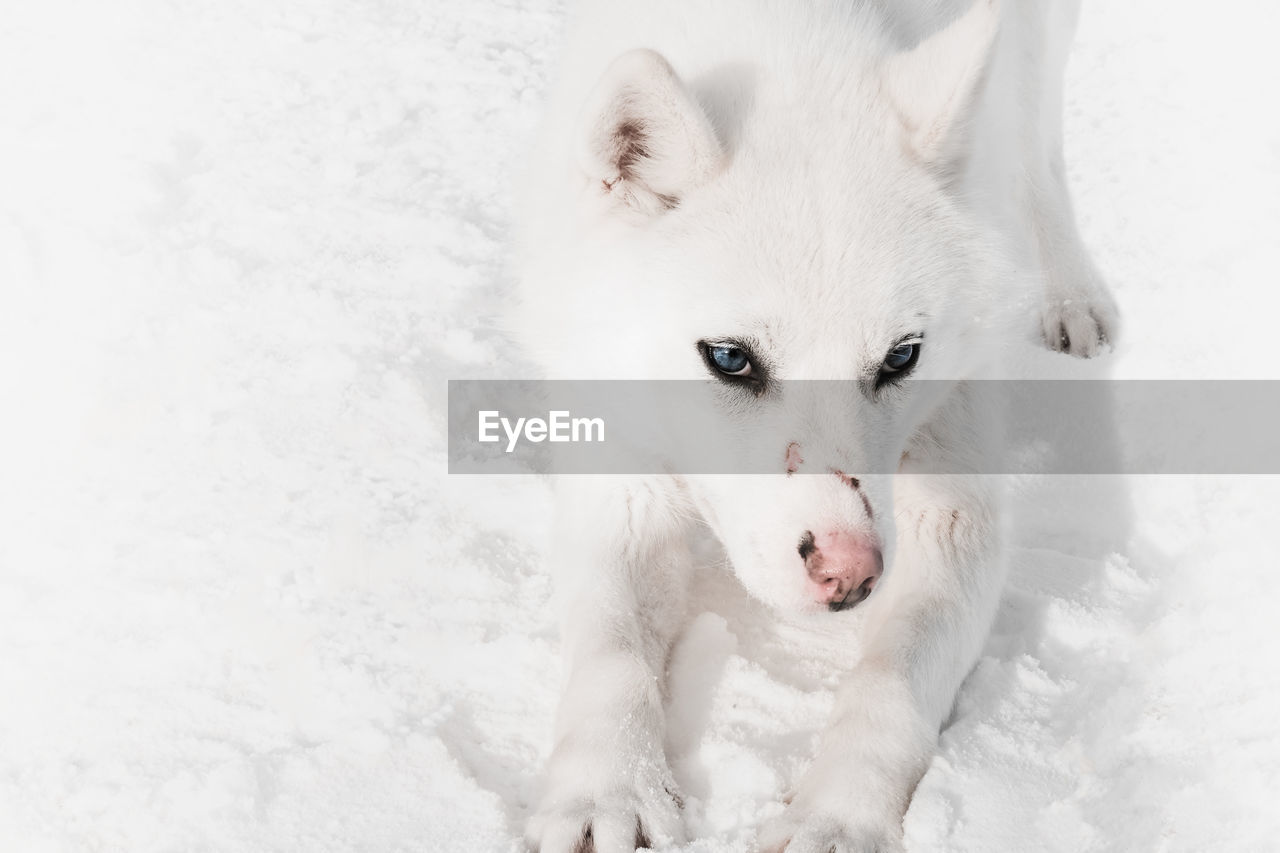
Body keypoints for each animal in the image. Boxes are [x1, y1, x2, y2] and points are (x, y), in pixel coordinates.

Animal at [514, 3, 1116, 845]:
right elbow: (611, 650)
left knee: (1040, 154)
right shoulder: (621, 470)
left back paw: (1072, 295)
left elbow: (892, 684)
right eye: (730, 357)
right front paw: (608, 789)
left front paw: (840, 815)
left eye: (901, 355)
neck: (787, 37)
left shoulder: (949, 494)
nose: (851, 573)